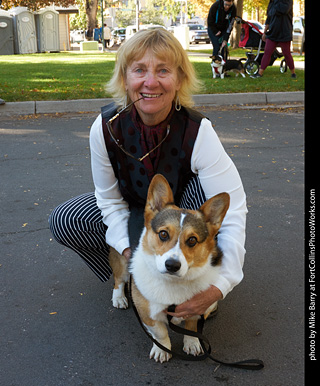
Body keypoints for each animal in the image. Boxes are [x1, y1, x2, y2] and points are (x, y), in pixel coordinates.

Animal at [109, 174, 229, 362]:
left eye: (192, 240)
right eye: (163, 234)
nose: (172, 265)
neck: (173, 283)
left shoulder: (199, 307)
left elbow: (191, 326)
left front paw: (192, 343)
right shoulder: (147, 315)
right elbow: (160, 333)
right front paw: (162, 349)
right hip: (121, 260)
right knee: (119, 279)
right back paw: (119, 297)